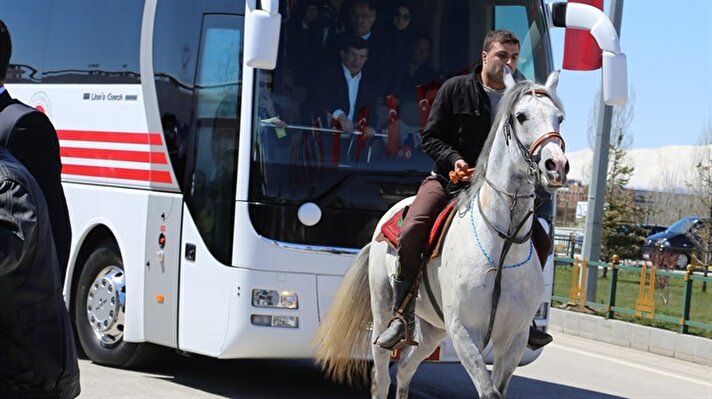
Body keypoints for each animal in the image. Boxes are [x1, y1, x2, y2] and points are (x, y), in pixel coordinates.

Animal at [314, 69, 572, 399]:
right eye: (521, 116)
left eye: (559, 118)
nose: (557, 166)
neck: (501, 244)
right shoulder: (463, 332)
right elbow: (488, 391)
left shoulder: (513, 339)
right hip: (383, 309)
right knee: (382, 375)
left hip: (432, 329)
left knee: (406, 368)